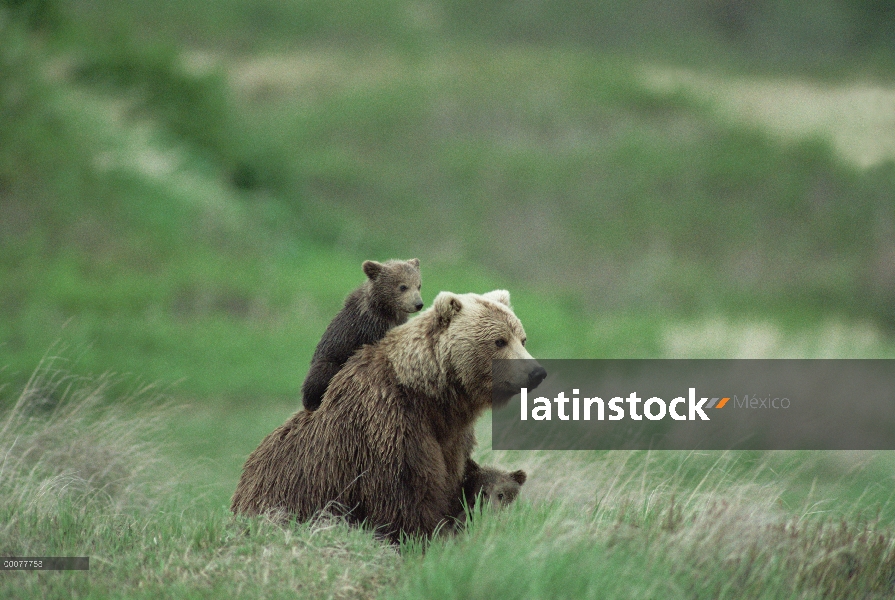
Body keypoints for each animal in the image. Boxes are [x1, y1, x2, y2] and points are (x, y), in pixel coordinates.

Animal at [300, 258, 424, 412]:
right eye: (403, 286)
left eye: (418, 285)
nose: (418, 304)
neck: (388, 310)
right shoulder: (371, 326)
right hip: (329, 360)